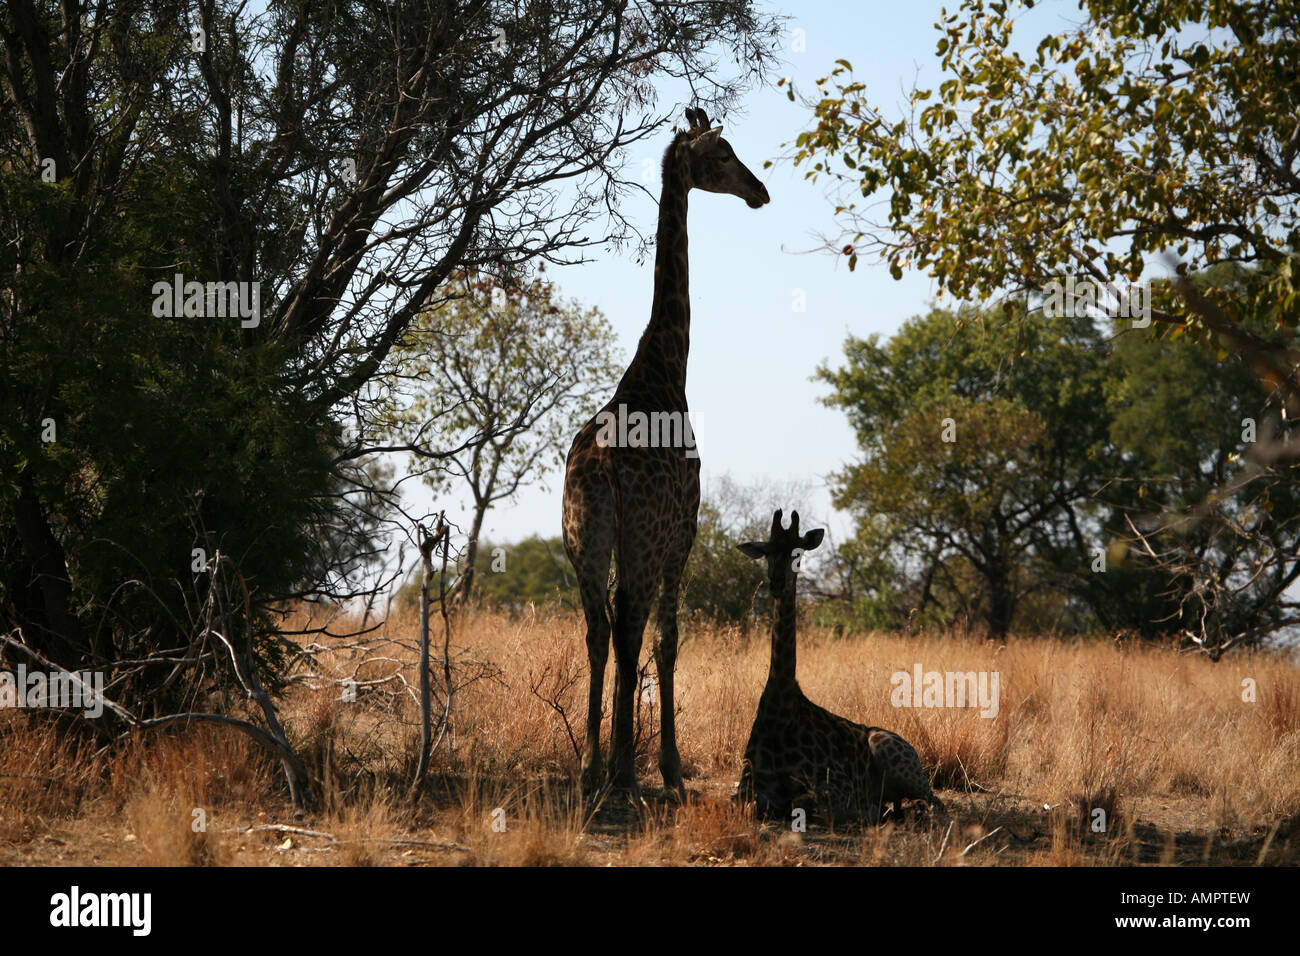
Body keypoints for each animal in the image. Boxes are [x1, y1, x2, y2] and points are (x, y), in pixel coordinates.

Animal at [561, 106, 764, 801]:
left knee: (598, 630)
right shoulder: (684, 532)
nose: (760, 191)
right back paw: (623, 769)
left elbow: (631, 639)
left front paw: (622, 761)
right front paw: (671, 768)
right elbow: (670, 640)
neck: (666, 365)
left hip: (583, 538)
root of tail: (599, 468)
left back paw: (593, 768)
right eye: (723, 153)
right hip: (644, 541)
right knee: (629, 626)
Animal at [738, 512, 941, 827]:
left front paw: (870, 812)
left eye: (798, 553)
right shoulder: (745, 787)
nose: (776, 582)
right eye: (768, 552)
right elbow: (756, 804)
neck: (779, 708)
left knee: (935, 801)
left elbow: (807, 801)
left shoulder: (836, 786)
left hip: (895, 756)